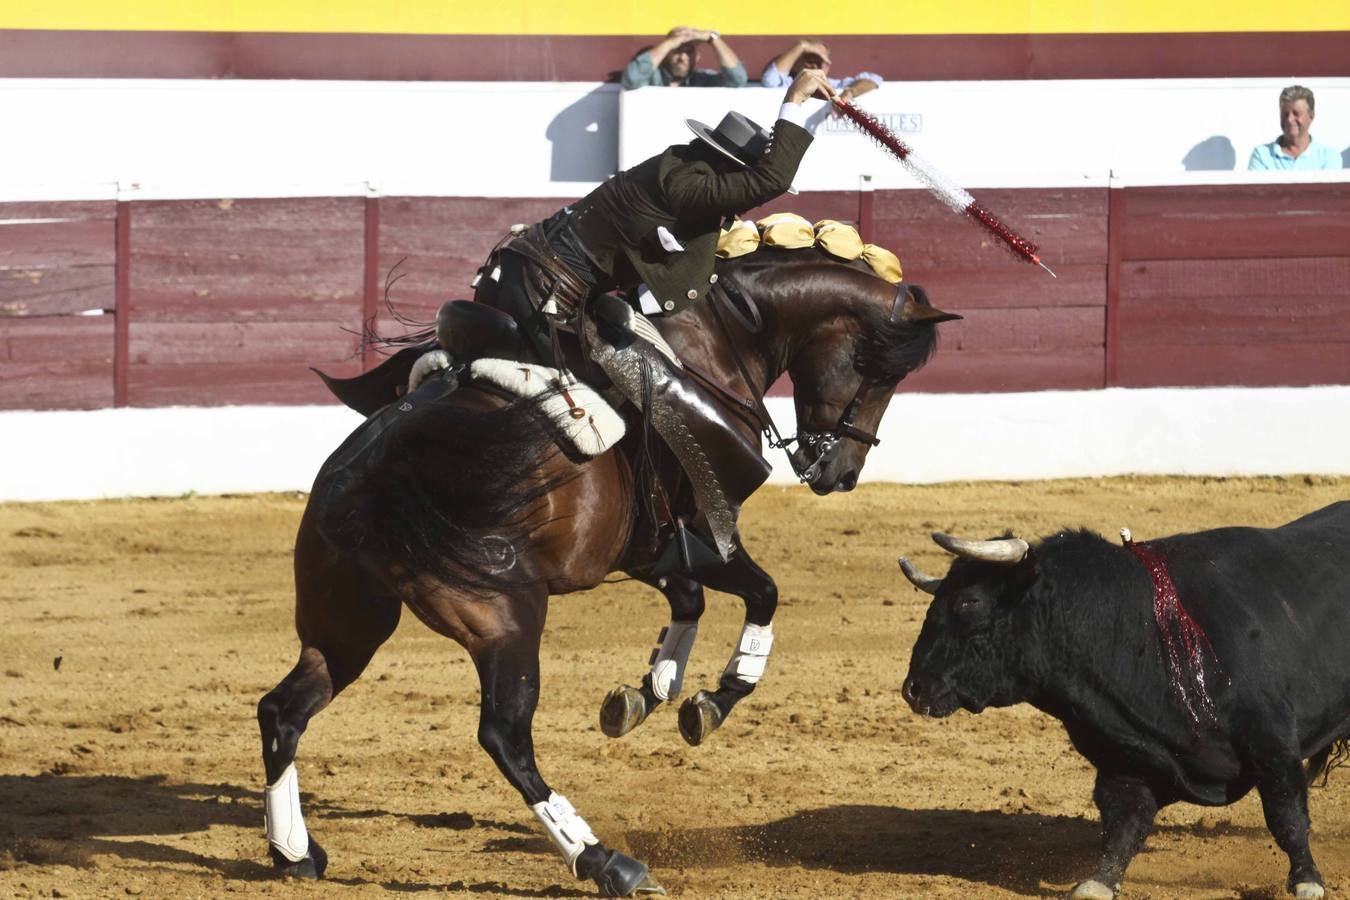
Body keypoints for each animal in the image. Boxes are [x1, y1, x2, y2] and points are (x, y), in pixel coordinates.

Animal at [251, 246, 950, 895]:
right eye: (876, 372)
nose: (842, 473)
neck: (709, 342)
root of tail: (381, 470)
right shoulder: (700, 533)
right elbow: (764, 593)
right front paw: (711, 700)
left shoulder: (639, 548)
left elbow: (691, 602)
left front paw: (647, 692)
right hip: (505, 621)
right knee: (504, 735)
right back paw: (606, 862)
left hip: (349, 622)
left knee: (283, 710)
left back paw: (295, 853)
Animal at [896, 504, 1350, 900]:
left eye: (969, 601)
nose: (913, 688)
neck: (1144, 627)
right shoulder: (1125, 758)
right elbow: (1123, 823)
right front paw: (1099, 882)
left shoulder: (1271, 742)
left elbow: (1287, 814)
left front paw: (1307, 880)